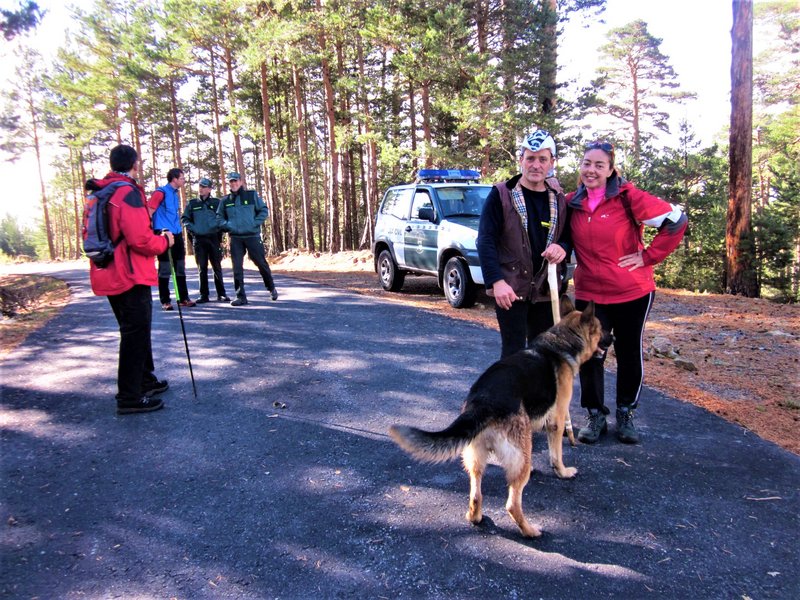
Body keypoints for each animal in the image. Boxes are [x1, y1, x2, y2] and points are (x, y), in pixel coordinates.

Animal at [390, 298, 608, 536]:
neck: (563, 341)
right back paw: (530, 531)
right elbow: (556, 454)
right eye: (601, 329)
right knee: (512, 504)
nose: (613, 338)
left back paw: (475, 517)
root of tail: (484, 401)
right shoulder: (557, 421)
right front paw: (563, 472)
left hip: (475, 457)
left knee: (476, 494)